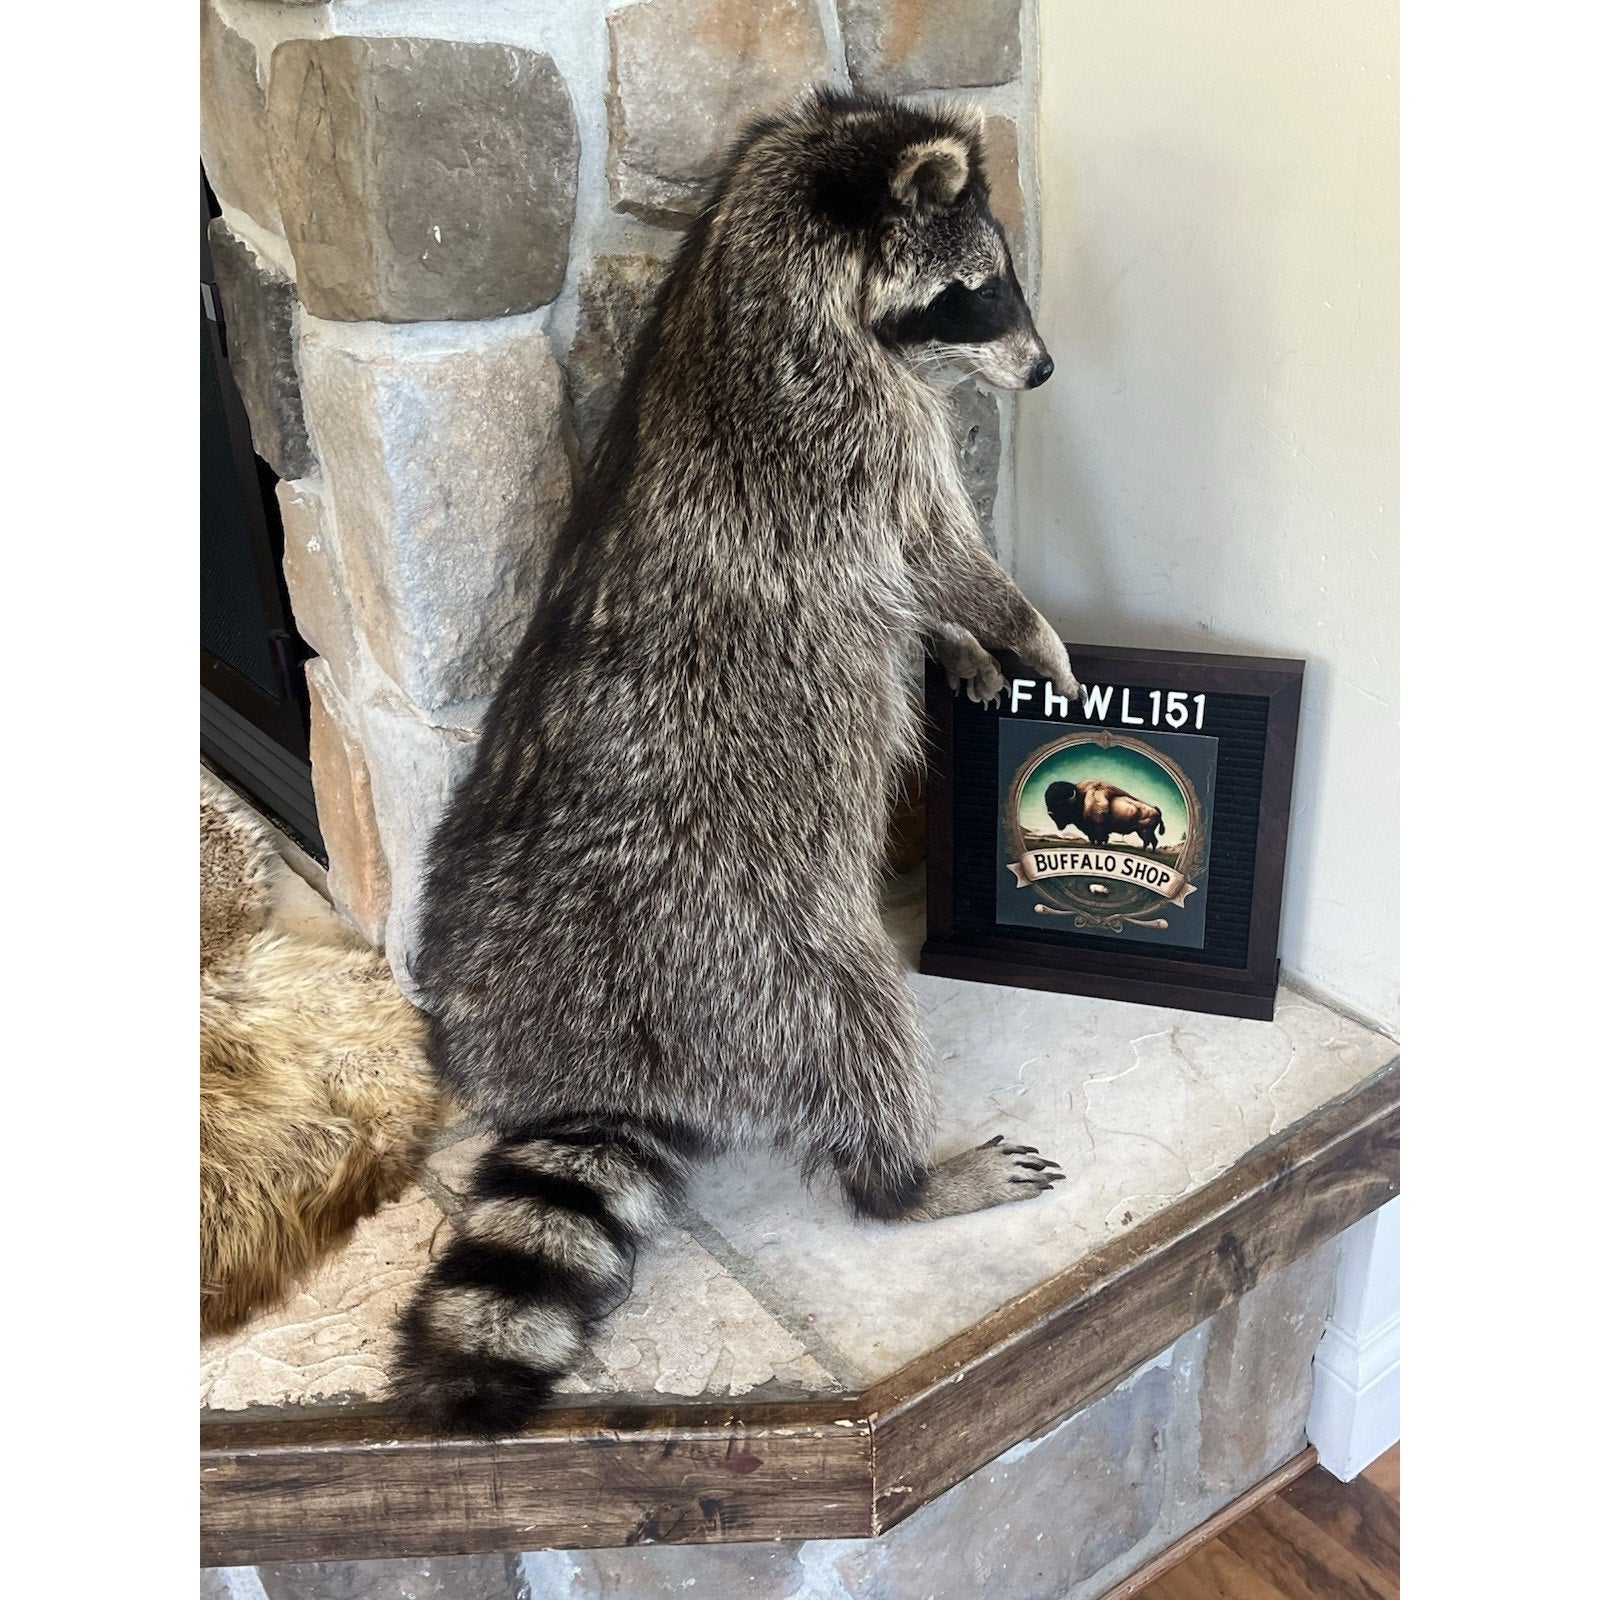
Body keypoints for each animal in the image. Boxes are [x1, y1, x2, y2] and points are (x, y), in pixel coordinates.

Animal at [395, 89, 1081, 1432]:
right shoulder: (858, 427)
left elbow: (904, 593)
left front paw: (957, 653)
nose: (1040, 368)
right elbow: (934, 548)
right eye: (979, 289)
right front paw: (1015, 628)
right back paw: (905, 1175)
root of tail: (610, 1055)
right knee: (855, 1028)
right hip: (757, 949)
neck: (757, 254)